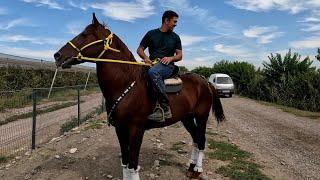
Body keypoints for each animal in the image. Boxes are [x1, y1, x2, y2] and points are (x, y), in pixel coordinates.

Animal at [54, 13, 225, 179]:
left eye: (84, 34)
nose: (57, 55)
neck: (126, 84)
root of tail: (205, 82)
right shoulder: (120, 129)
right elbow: (125, 162)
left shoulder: (136, 129)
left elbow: (133, 164)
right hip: (186, 117)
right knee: (195, 139)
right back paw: (191, 167)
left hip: (201, 116)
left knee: (201, 141)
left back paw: (197, 169)